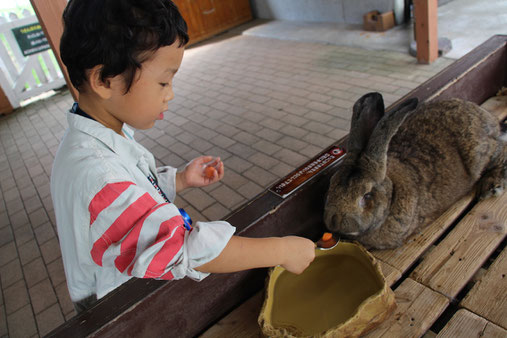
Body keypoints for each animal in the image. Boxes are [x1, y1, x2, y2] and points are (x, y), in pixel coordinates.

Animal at [326, 92, 507, 248]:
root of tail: (488, 117)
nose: (334, 221)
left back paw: (491, 186)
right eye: (331, 187)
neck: (392, 195)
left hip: (479, 154)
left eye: (367, 195)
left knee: (501, 151)